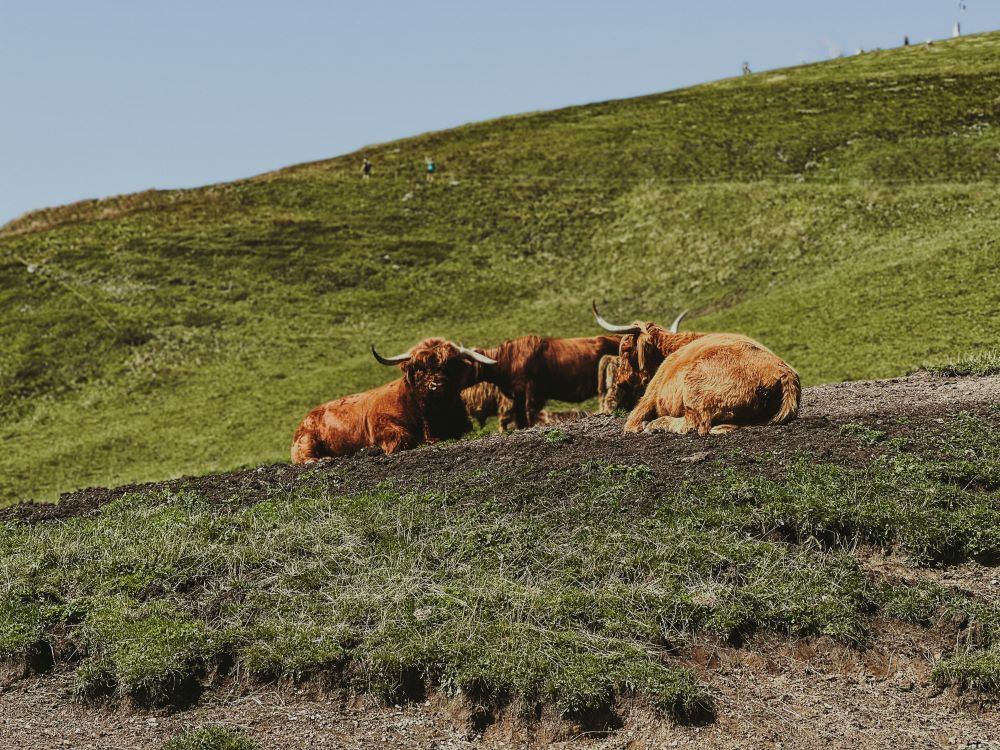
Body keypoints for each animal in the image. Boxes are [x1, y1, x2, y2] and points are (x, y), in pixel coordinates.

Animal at [290, 338, 497, 462]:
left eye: (450, 365)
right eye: (420, 368)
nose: (436, 384)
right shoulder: (383, 425)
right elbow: (402, 438)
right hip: (306, 440)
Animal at [593, 303, 800, 435]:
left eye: (625, 349)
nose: (620, 380)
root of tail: (784, 373)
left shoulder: (646, 400)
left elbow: (631, 423)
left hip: (695, 391)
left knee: (694, 424)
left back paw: (655, 424)